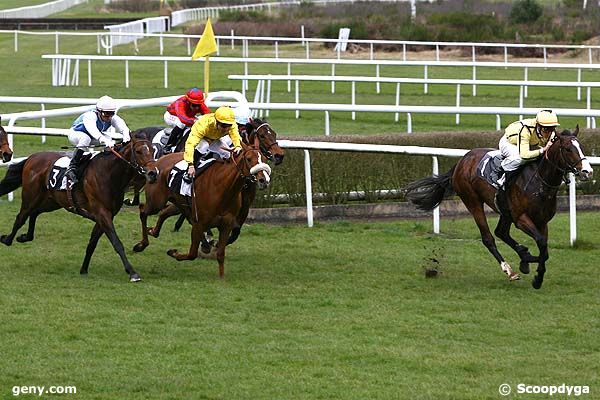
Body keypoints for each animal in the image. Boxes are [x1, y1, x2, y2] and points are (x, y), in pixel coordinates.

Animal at [0, 131, 157, 282]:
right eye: (138, 151)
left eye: (152, 150)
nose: (153, 173)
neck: (109, 174)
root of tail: (32, 157)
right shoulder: (102, 214)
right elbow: (117, 243)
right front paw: (132, 272)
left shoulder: (105, 216)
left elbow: (92, 244)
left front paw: (84, 269)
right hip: (31, 197)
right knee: (21, 217)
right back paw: (7, 239)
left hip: (52, 201)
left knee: (35, 213)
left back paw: (25, 237)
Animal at [134, 138, 272, 278]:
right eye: (249, 159)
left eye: (264, 159)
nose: (264, 180)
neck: (223, 189)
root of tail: (158, 162)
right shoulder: (199, 223)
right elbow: (192, 254)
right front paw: (173, 252)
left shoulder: (226, 224)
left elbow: (220, 254)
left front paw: (221, 278)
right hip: (156, 202)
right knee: (143, 210)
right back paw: (141, 244)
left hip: (178, 203)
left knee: (164, 213)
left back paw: (153, 231)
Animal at [406, 126, 592, 290]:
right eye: (567, 149)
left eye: (581, 147)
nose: (587, 171)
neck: (539, 182)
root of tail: (462, 160)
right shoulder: (521, 218)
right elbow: (541, 244)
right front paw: (536, 277)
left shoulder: (542, 222)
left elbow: (544, 250)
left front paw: (530, 265)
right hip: (473, 201)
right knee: (488, 238)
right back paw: (509, 270)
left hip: (504, 210)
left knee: (501, 232)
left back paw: (523, 256)